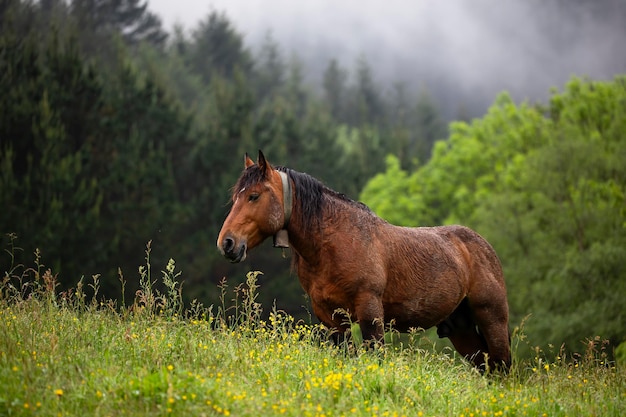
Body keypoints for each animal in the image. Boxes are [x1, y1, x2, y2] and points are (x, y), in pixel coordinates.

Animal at [217, 150, 510, 370]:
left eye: (254, 195)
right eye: (235, 197)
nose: (227, 243)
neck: (335, 243)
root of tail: (484, 248)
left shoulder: (370, 312)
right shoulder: (332, 319)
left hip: (492, 319)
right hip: (460, 328)